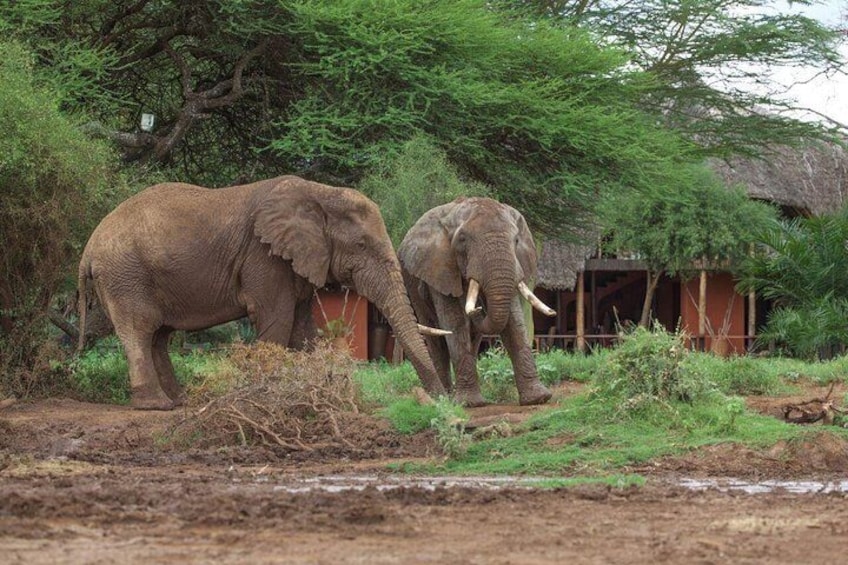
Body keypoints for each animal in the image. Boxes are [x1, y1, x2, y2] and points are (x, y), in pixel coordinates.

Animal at [78, 174, 450, 408]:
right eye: (361, 245)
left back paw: (178, 400)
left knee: (159, 336)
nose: (440, 399)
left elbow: (301, 329)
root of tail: (89, 247)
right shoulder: (263, 257)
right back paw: (157, 406)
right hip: (126, 275)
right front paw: (266, 396)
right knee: (140, 331)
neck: (320, 193)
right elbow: (277, 321)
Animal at [398, 197, 556, 406]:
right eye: (462, 239)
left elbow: (514, 322)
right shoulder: (440, 269)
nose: (479, 308)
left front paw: (538, 398)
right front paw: (469, 404)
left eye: (516, 240)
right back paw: (443, 397)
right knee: (436, 340)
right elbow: (455, 323)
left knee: (473, 338)